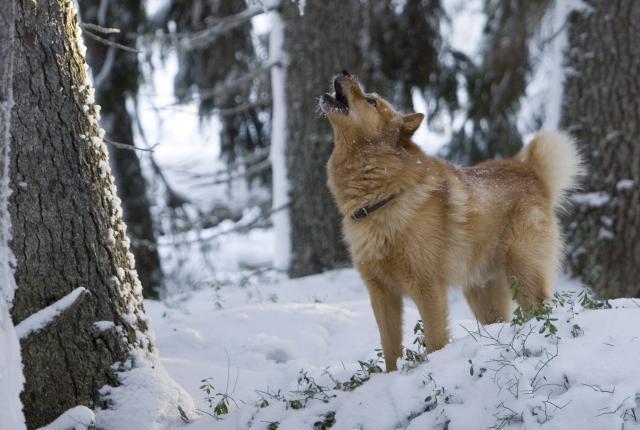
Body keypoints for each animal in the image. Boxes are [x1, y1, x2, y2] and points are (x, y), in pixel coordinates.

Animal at [318, 71, 584, 372]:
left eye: (372, 100)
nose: (344, 72)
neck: (381, 197)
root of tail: (529, 171)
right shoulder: (382, 294)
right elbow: (390, 350)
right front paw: (392, 376)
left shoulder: (428, 289)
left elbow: (435, 341)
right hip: (483, 293)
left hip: (522, 269)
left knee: (542, 310)